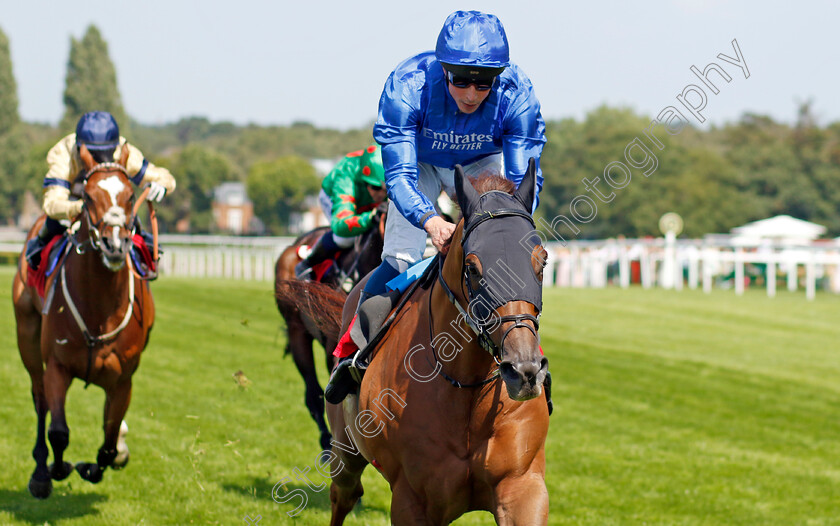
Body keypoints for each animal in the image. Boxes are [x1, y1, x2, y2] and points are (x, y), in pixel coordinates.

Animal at [12, 144, 155, 500]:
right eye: (89, 197)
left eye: (131, 195)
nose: (114, 245)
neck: (99, 309)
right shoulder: (57, 366)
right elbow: (59, 431)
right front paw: (57, 468)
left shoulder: (123, 380)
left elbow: (108, 442)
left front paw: (99, 462)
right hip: (27, 334)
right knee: (39, 399)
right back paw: (40, 471)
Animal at [324, 161, 548, 526]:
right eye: (472, 267)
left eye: (541, 261)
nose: (524, 370)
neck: (467, 391)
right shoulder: (412, 499)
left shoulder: (523, 485)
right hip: (345, 450)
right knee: (343, 494)